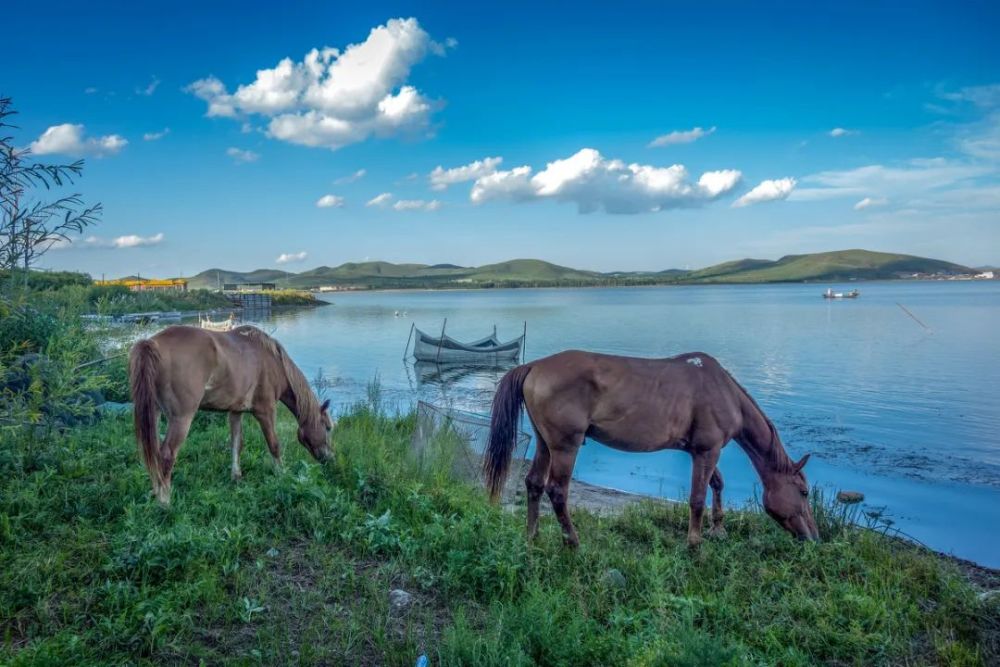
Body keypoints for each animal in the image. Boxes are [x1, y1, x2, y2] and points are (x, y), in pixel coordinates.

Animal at [127, 324, 332, 506]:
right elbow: (274, 445)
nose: (330, 458)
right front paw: (282, 475)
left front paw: (236, 476)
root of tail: (152, 343)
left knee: (153, 452)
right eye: (328, 428)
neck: (273, 362)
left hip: (154, 413)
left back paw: (155, 491)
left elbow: (236, 444)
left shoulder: (236, 411)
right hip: (181, 419)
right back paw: (164, 501)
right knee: (166, 455)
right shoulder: (265, 412)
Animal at [484, 350, 820, 548]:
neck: (724, 391)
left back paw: (532, 537)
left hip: (545, 443)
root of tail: (534, 366)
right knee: (557, 491)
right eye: (804, 492)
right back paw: (573, 543)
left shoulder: (700, 450)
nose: (814, 537)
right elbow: (697, 498)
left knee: (534, 484)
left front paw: (718, 529)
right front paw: (694, 544)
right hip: (565, 446)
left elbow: (717, 483)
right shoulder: (708, 450)